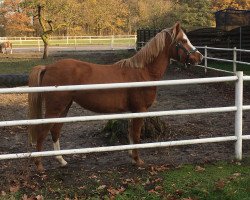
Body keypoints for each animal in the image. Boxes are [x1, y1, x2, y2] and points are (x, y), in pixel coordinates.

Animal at [28, 22, 202, 171]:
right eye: (183, 40)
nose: (199, 57)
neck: (143, 72)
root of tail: (48, 67)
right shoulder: (140, 110)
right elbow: (136, 136)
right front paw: (138, 161)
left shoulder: (133, 111)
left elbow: (131, 134)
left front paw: (132, 157)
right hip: (55, 108)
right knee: (43, 132)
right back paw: (39, 165)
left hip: (64, 106)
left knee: (55, 131)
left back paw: (61, 161)